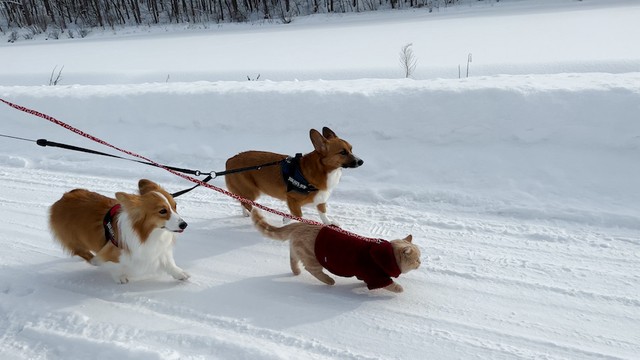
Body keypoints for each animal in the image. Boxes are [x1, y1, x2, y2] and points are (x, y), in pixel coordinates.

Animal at [48, 179, 189, 282]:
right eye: (162, 211)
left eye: (175, 206)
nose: (184, 225)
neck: (148, 233)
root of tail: (64, 197)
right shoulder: (110, 253)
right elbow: (113, 265)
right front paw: (120, 277)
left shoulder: (158, 249)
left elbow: (169, 263)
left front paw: (180, 274)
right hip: (74, 240)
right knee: (82, 252)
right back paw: (93, 261)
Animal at [226, 126, 362, 222]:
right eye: (342, 152)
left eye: (351, 149)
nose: (361, 161)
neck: (324, 170)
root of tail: (230, 160)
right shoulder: (292, 199)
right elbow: (298, 215)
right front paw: (289, 220)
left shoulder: (320, 198)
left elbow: (323, 212)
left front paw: (329, 223)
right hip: (251, 191)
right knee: (246, 203)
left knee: (243, 201)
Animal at [250, 210, 420, 292]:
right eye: (417, 259)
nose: (420, 263)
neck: (385, 255)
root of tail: (301, 224)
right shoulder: (376, 276)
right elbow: (390, 285)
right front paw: (399, 288)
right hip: (312, 258)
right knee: (312, 269)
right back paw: (329, 280)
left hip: (297, 249)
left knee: (293, 258)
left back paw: (296, 271)